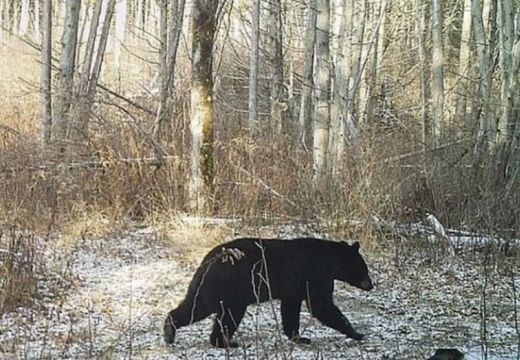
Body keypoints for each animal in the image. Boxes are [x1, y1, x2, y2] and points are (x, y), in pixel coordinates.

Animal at [165, 238, 372, 348]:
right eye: (364, 268)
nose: (371, 285)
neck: (330, 261)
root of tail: (208, 260)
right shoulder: (316, 277)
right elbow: (322, 305)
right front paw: (357, 333)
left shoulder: (293, 289)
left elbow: (290, 310)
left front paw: (298, 337)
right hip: (226, 288)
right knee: (213, 311)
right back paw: (223, 342)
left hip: (213, 288)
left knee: (199, 306)